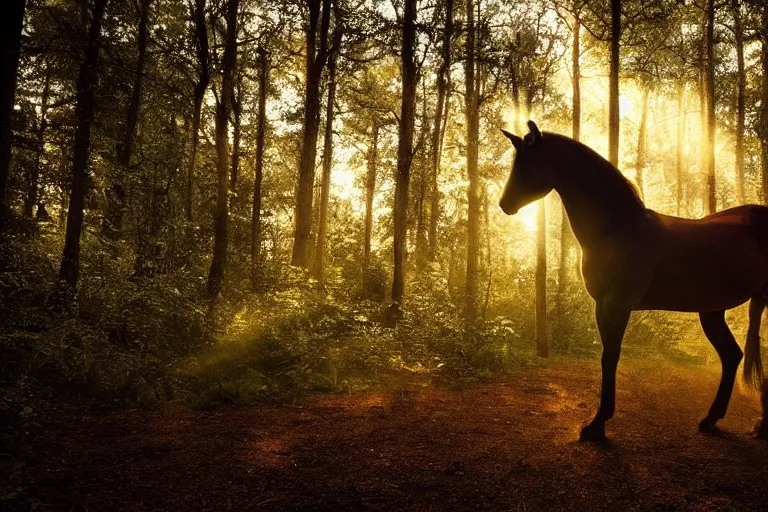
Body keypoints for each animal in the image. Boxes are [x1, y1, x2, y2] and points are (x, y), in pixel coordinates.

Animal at [498, 121, 768, 444]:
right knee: (731, 355)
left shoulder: (618, 304)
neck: (617, 229)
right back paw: (714, 420)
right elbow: (607, 356)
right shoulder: (602, 304)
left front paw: (597, 424)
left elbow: (610, 357)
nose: (504, 204)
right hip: (712, 311)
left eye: (526, 162)